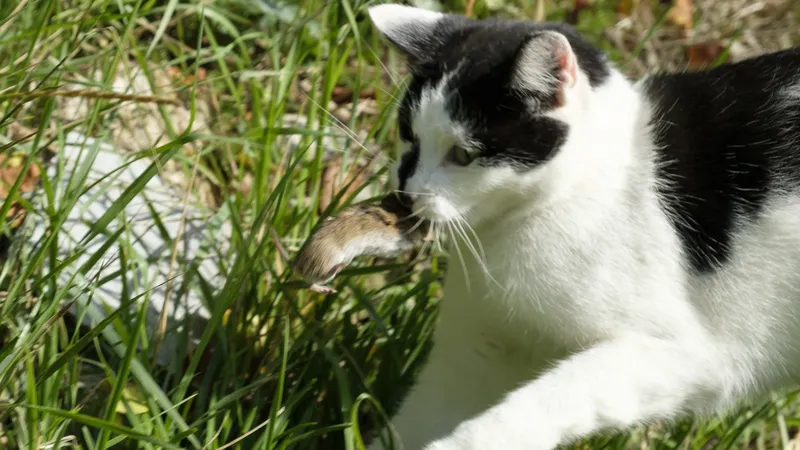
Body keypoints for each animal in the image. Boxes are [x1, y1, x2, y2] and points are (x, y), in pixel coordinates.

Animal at [366, 3, 800, 450]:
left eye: (464, 155)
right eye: (408, 134)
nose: (406, 191)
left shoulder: (687, 357)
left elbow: (543, 403)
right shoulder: (475, 351)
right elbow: (421, 415)